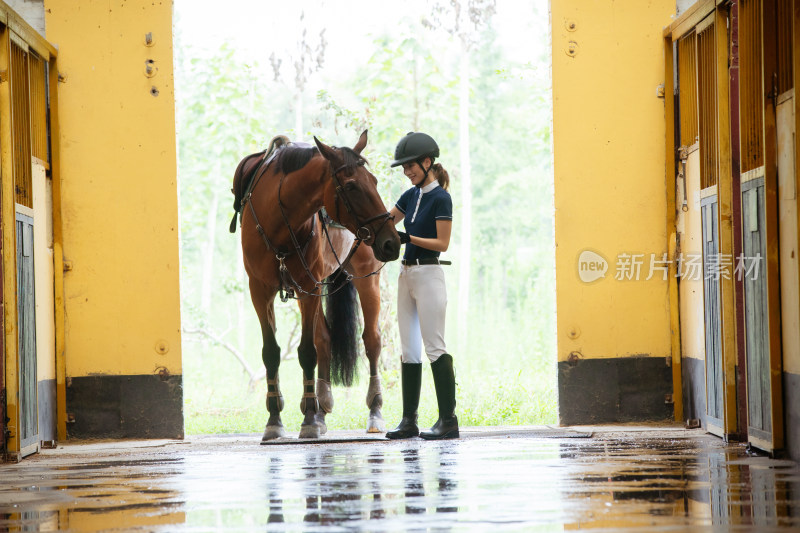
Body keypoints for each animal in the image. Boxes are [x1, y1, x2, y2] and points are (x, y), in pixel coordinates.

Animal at [231, 131, 400, 438]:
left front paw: (308, 418)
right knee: (325, 339)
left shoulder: (307, 286)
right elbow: (272, 352)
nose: (392, 241)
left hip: (366, 279)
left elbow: (307, 352)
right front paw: (275, 419)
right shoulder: (260, 291)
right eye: (352, 186)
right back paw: (322, 409)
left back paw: (374, 409)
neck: (278, 219)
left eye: (374, 181)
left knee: (372, 341)